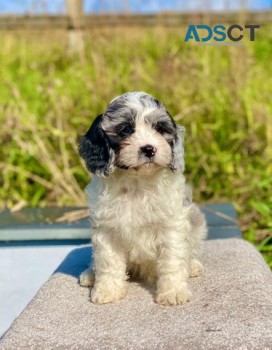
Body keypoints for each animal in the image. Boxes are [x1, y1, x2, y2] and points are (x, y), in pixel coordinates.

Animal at [78, 91, 206, 304]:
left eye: (160, 129)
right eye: (126, 130)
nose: (149, 149)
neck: (137, 182)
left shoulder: (171, 225)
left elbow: (172, 260)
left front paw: (173, 292)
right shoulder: (107, 229)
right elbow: (108, 262)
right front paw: (108, 291)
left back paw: (193, 266)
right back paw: (90, 274)